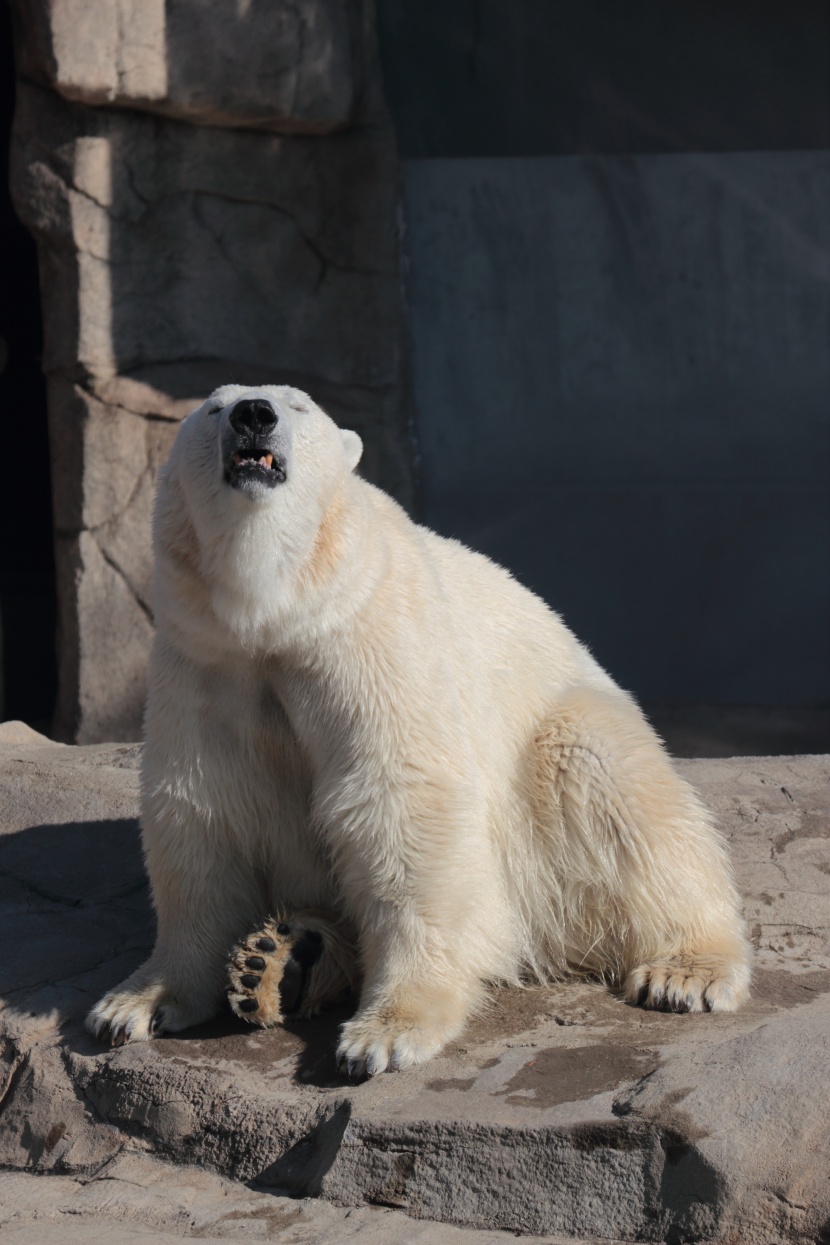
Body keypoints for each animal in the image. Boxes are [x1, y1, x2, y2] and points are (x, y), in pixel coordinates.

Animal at [89, 383, 751, 1075]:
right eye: (213, 408)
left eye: (297, 406)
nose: (253, 415)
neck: (278, 612)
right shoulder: (205, 662)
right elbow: (200, 812)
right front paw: (136, 1002)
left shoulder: (372, 635)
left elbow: (401, 802)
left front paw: (386, 1033)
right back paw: (280, 961)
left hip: (559, 757)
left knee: (607, 782)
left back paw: (687, 971)